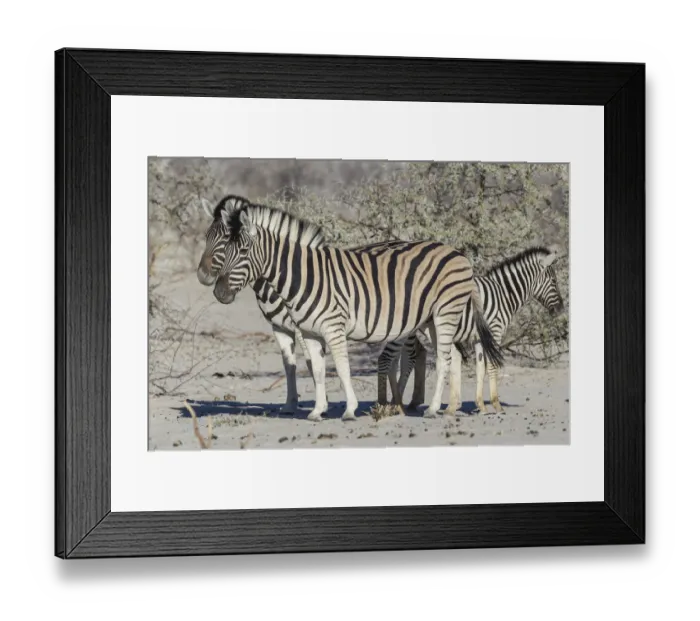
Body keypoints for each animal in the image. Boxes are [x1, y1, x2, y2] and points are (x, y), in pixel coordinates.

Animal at [196, 195, 327, 416]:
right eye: (207, 236)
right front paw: (291, 404)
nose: (202, 276)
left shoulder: (304, 329)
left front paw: (322, 404)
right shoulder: (279, 327)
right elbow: (289, 364)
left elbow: (312, 362)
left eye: (226, 240)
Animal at [211, 196, 504, 421]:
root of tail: (459, 254)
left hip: (445, 312)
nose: (218, 292)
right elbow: (318, 370)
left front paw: (349, 410)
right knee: (452, 355)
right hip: (432, 319)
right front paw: (317, 411)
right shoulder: (310, 332)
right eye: (224, 251)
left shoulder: (333, 327)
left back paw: (432, 409)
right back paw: (450, 408)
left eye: (244, 251)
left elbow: (342, 368)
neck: (304, 275)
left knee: (443, 358)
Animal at [378, 246, 564, 414]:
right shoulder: (494, 332)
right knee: (389, 359)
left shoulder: (479, 338)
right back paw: (391, 405)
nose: (561, 309)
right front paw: (496, 404)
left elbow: (480, 368)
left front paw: (481, 405)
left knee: (399, 361)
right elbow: (492, 366)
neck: (502, 295)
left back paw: (397, 404)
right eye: (554, 282)